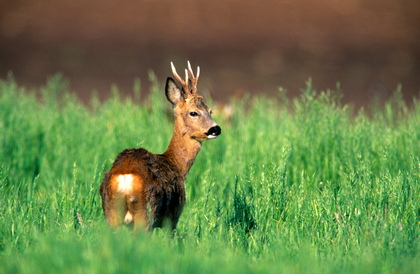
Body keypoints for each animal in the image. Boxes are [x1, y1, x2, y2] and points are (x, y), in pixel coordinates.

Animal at [99, 61, 221, 231]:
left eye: (210, 111)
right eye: (193, 113)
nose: (216, 129)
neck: (176, 164)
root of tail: (125, 179)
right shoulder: (174, 215)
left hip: (111, 213)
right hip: (147, 212)